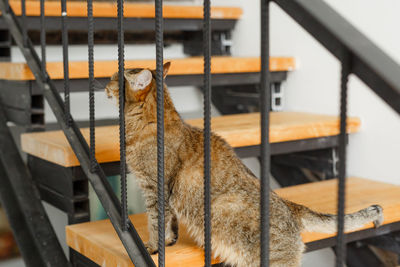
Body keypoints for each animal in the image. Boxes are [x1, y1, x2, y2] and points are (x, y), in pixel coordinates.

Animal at [104, 63, 382, 267]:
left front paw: (152, 247)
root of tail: (290, 206)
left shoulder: (154, 189)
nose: (104, 84)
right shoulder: (165, 196)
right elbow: (169, 222)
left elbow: (155, 222)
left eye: (115, 77)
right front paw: (170, 241)